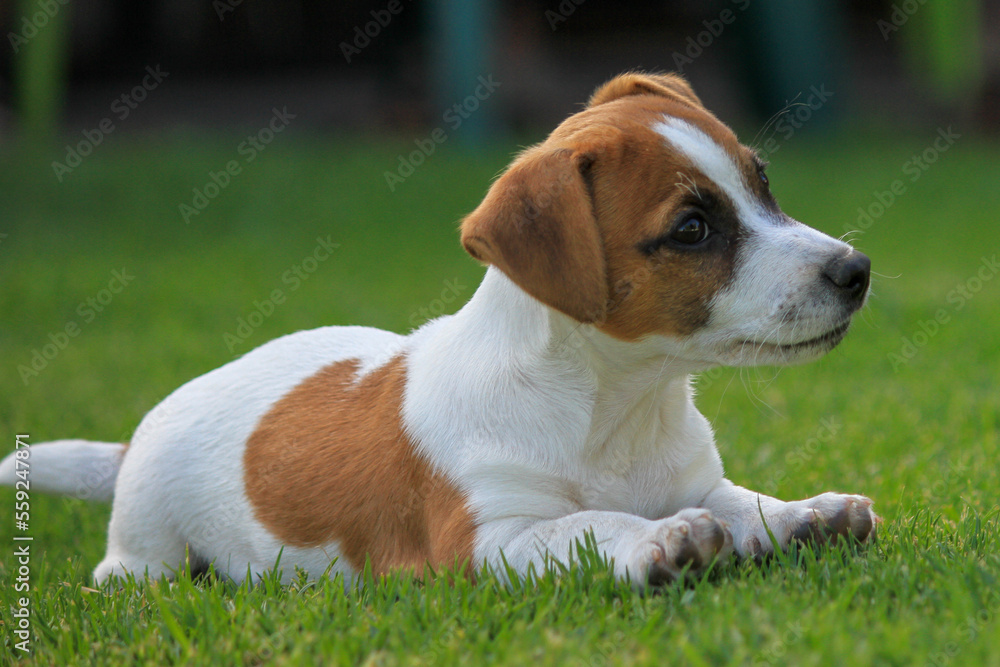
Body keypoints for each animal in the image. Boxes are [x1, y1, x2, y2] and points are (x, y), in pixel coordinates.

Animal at [0, 70, 876, 588]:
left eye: (763, 183)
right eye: (692, 229)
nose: (856, 269)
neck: (616, 408)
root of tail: (137, 438)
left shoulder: (697, 478)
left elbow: (742, 500)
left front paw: (803, 512)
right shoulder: (489, 540)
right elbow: (590, 523)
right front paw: (657, 540)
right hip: (149, 546)